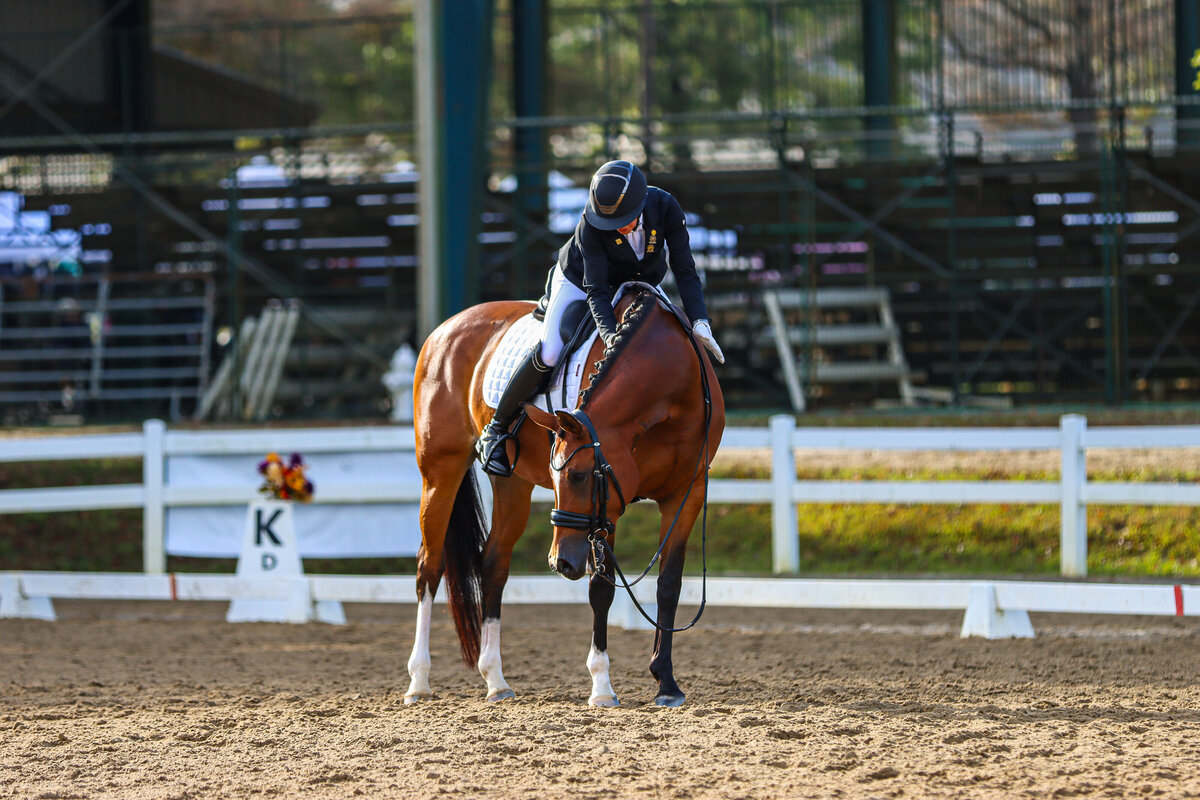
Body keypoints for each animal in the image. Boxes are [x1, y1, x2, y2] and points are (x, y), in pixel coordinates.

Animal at [403, 284, 725, 707]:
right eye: (566, 478)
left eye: (578, 475)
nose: (561, 563)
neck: (673, 392)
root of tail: (443, 330)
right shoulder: (608, 510)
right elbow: (601, 586)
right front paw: (602, 687)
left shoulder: (686, 493)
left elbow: (669, 584)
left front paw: (666, 683)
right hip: (441, 471)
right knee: (430, 565)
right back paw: (419, 681)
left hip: (513, 483)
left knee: (493, 563)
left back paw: (496, 680)